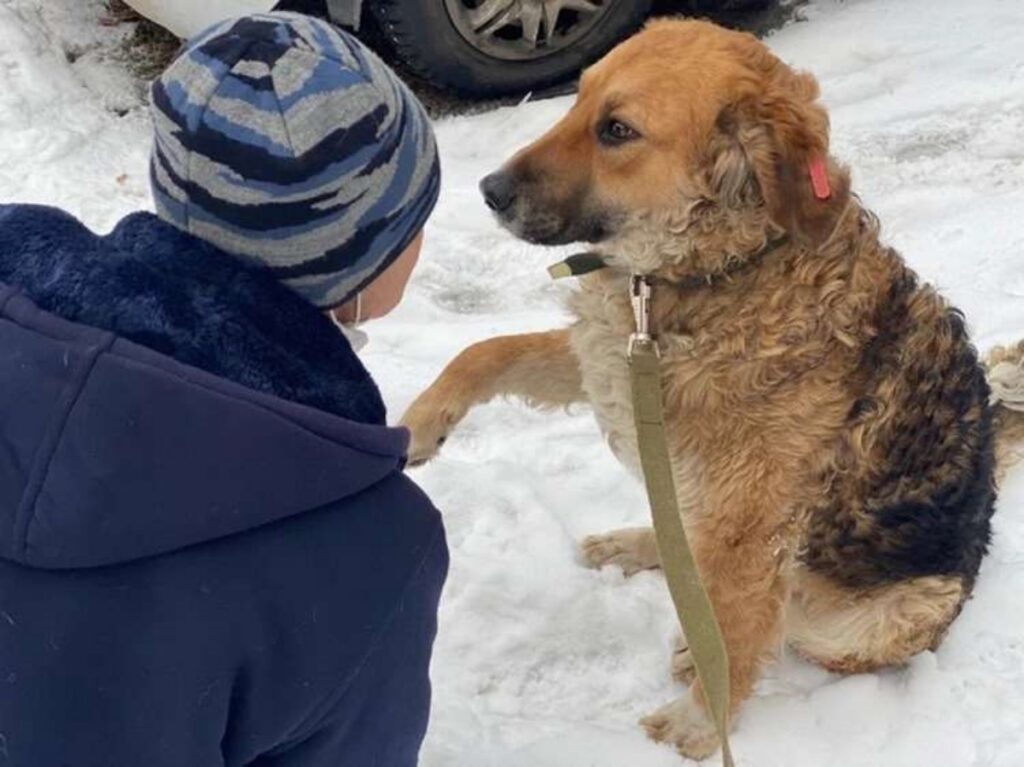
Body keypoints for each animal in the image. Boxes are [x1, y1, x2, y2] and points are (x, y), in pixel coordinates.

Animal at [397, 17, 1024, 761]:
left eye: (617, 131)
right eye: (577, 99)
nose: (488, 189)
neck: (718, 272)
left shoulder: (749, 528)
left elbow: (736, 629)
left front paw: (698, 724)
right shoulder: (608, 366)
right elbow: (487, 350)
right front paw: (421, 422)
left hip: (885, 611)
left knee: (780, 622)